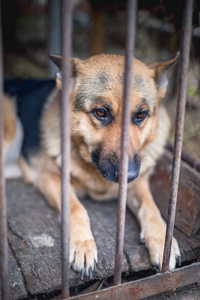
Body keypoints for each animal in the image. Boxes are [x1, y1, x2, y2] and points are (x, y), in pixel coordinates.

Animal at [3, 52, 181, 278]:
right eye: (101, 112)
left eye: (141, 115)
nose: (130, 175)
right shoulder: (51, 178)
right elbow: (78, 209)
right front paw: (83, 245)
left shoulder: (137, 186)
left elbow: (151, 208)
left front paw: (162, 241)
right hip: (12, 126)